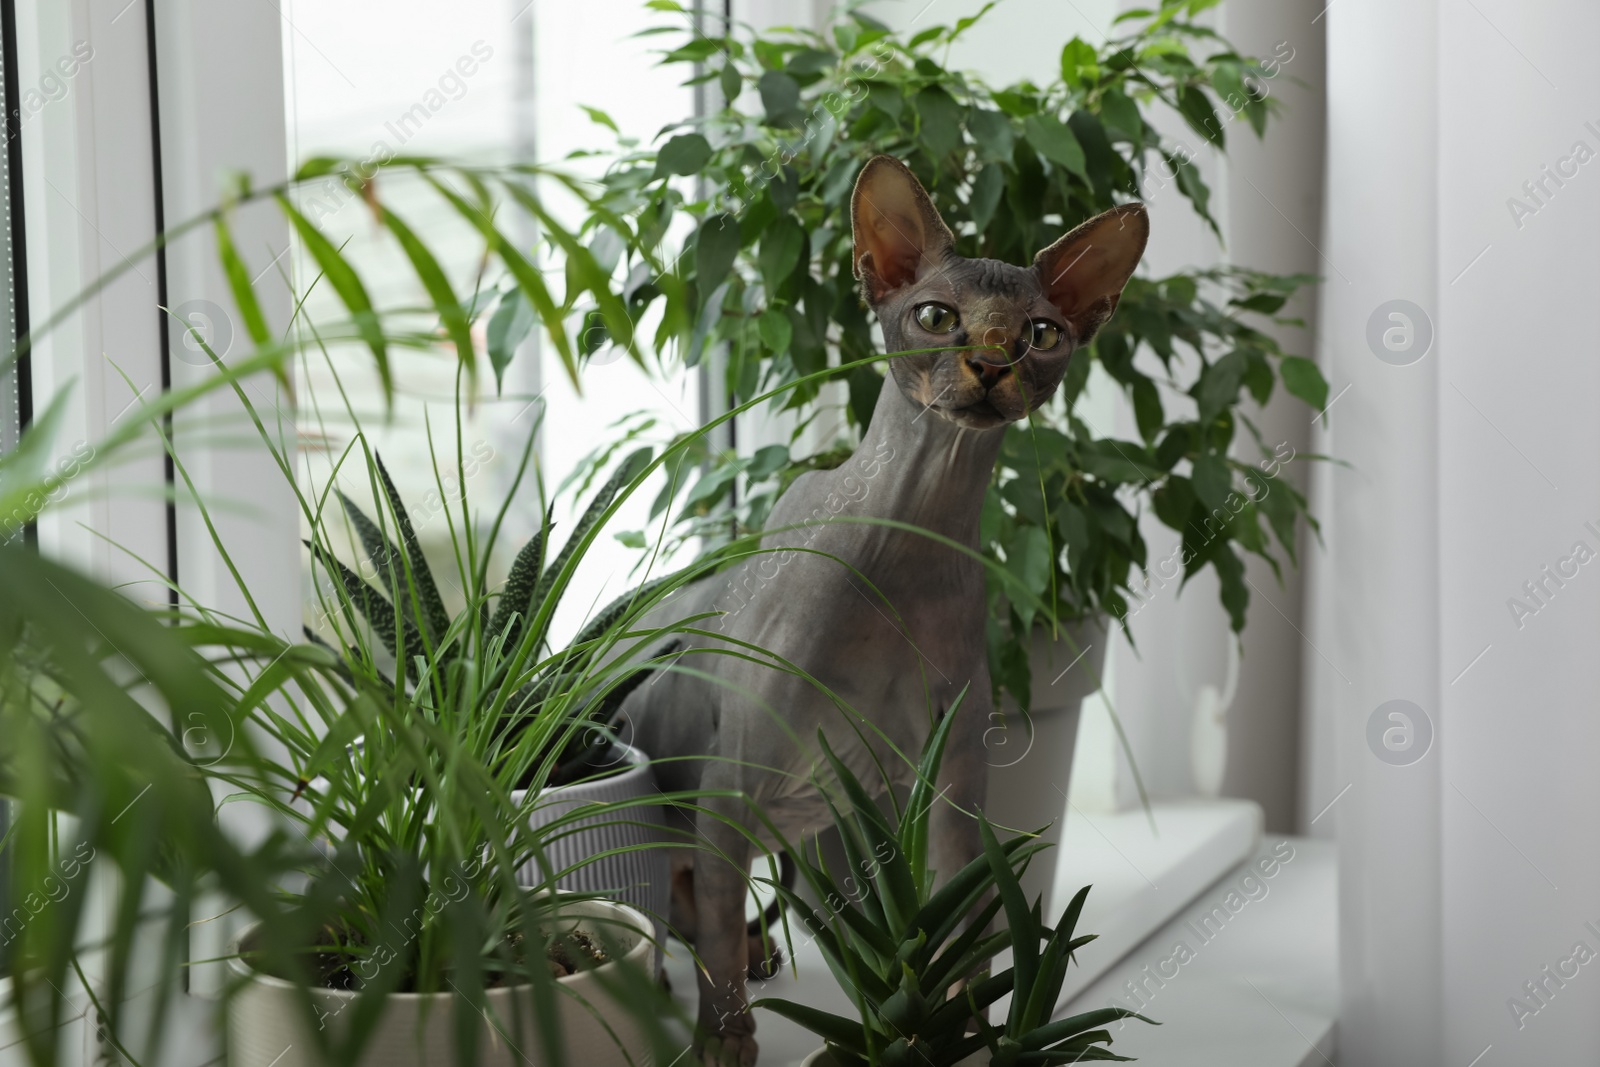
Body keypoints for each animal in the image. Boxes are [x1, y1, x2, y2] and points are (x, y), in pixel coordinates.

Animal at [611, 154, 1152, 1062]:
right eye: (935, 316)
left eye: (1042, 332)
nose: (992, 362)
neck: (907, 546)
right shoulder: (734, 785)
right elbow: (719, 949)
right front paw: (724, 1041)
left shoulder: (951, 784)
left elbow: (963, 933)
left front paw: (966, 1033)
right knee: (683, 898)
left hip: (837, 819)